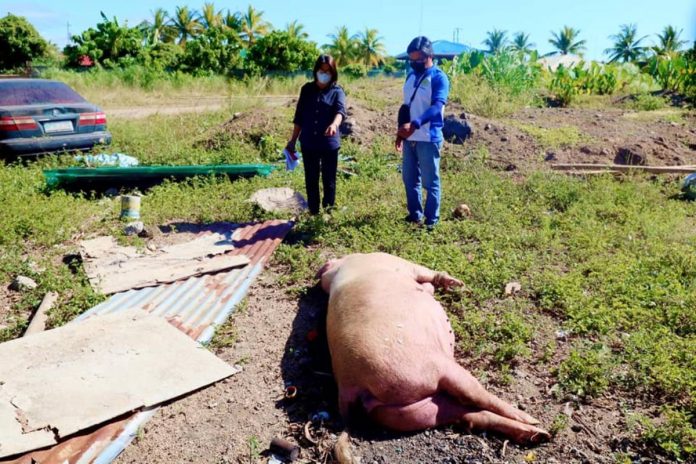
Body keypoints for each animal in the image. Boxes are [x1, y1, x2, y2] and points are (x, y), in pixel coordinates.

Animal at [318, 252, 552, 444]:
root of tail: (352, 386)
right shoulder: (401, 264)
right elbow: (428, 275)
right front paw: (454, 284)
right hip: (433, 369)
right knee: (477, 398)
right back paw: (534, 421)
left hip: (401, 411)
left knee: (465, 413)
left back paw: (539, 435)